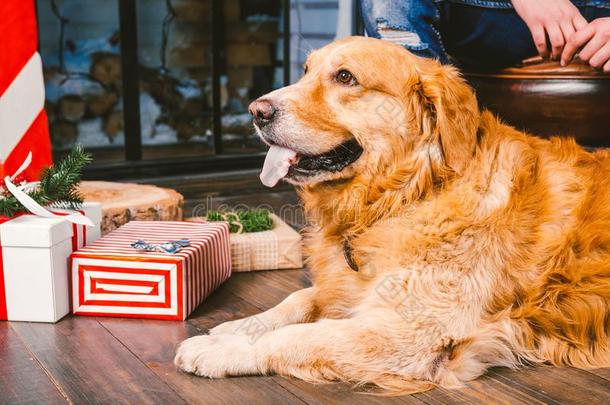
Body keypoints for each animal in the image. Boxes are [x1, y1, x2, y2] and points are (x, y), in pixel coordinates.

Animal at [173, 36, 608, 392]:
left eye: (345, 77)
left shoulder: (410, 332)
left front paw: (221, 350)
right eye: (306, 70)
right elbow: (298, 299)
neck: (406, 195)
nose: (256, 111)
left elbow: (296, 336)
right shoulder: (350, 287)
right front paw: (237, 328)